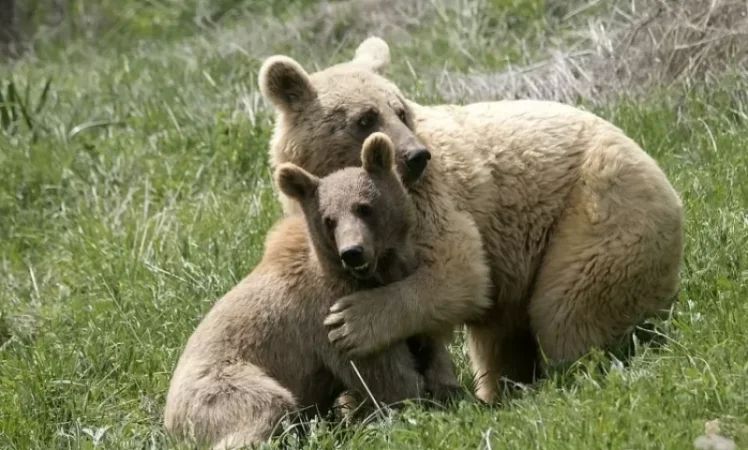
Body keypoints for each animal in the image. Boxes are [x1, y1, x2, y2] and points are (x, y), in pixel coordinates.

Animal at [163, 133, 491, 449]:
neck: (376, 276)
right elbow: (387, 376)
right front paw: (417, 406)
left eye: (364, 207)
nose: (353, 252)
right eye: (329, 220)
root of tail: (169, 418)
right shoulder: (329, 318)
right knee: (263, 407)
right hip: (221, 387)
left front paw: (454, 392)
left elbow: (427, 345)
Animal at [258, 36, 685, 403]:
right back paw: (502, 388)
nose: (416, 156)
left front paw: (351, 322)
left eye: (400, 110)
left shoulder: (425, 200)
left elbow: (457, 270)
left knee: (570, 307)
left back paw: (569, 372)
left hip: (601, 211)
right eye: (365, 118)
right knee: (499, 336)